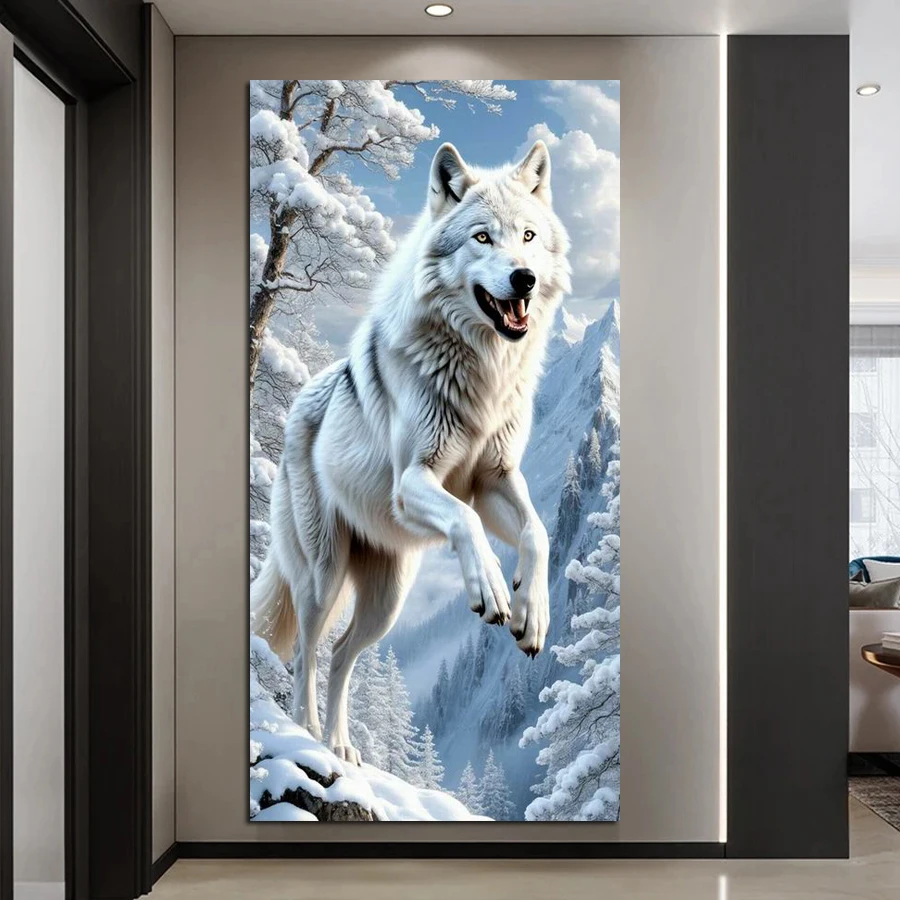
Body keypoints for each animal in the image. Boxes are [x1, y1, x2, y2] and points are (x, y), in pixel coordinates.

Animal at [251, 139, 571, 765]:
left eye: (527, 236)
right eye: (482, 238)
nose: (523, 278)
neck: (482, 372)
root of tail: (298, 403)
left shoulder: (496, 478)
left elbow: (538, 533)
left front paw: (532, 613)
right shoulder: (415, 482)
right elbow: (466, 521)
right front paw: (491, 587)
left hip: (389, 600)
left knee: (343, 653)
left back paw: (342, 748)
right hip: (323, 576)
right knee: (305, 652)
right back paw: (307, 735)